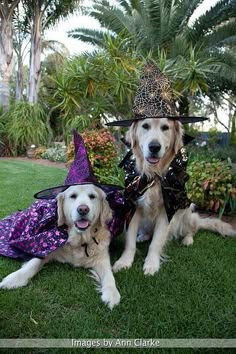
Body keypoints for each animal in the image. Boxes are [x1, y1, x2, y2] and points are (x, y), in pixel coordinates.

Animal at [113, 119, 235, 276]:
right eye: (145, 126)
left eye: (165, 127)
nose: (154, 147)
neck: (154, 174)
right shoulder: (133, 204)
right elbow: (130, 241)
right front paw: (124, 262)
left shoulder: (167, 210)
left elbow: (156, 243)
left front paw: (151, 264)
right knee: (147, 232)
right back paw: (143, 236)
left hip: (187, 212)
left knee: (192, 229)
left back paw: (188, 240)